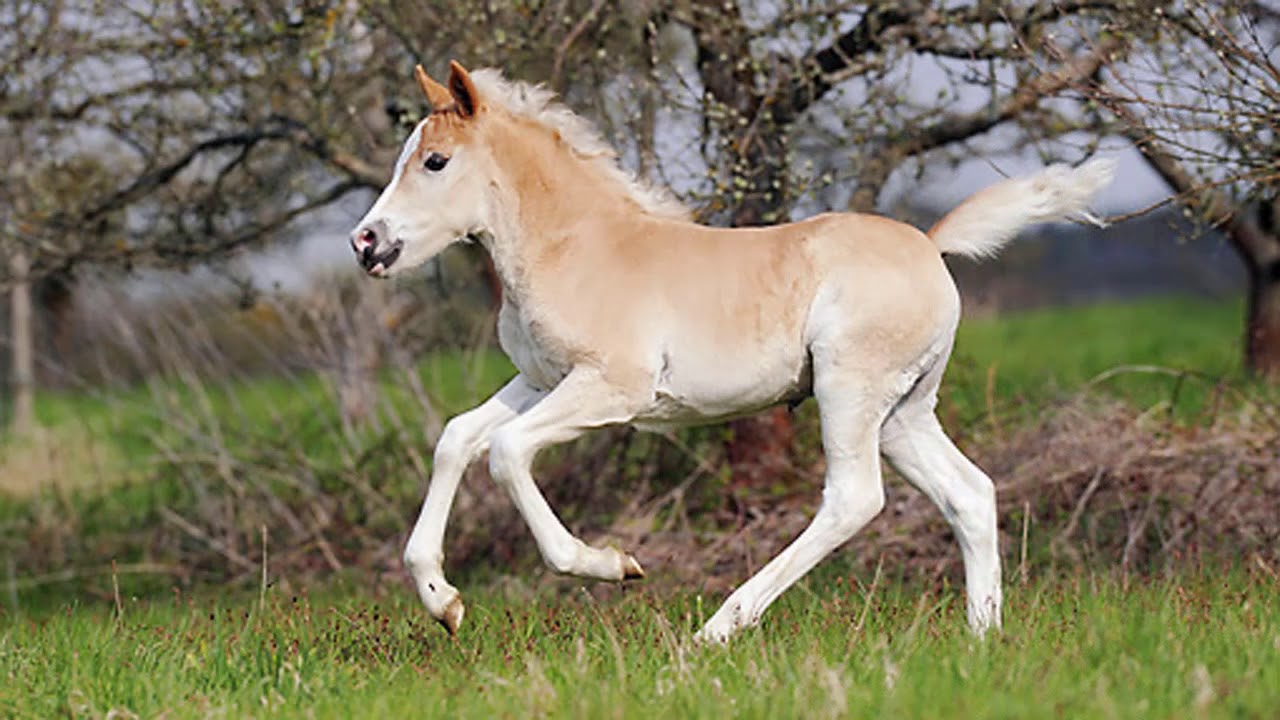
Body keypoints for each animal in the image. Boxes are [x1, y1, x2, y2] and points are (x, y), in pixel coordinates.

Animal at [350, 61, 1115, 643]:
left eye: (436, 161)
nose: (366, 243)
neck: (576, 246)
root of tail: (930, 244)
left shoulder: (612, 388)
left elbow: (507, 453)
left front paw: (612, 565)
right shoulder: (541, 380)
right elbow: (457, 439)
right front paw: (442, 601)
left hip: (849, 390)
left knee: (854, 499)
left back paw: (720, 626)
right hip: (903, 412)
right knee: (970, 494)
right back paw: (981, 637)